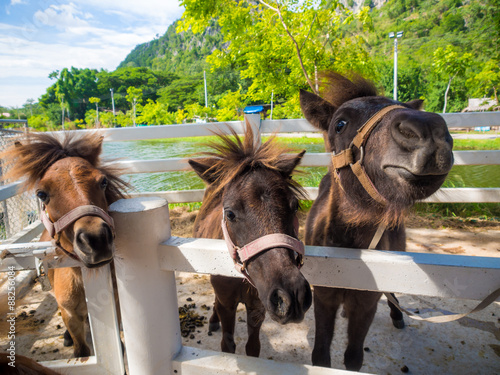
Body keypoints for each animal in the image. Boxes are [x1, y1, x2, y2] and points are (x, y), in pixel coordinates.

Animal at [188, 127, 312, 358]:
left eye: (295, 206)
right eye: (229, 213)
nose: (292, 295)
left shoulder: (257, 305)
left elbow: (253, 349)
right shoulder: (227, 304)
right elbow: (227, 346)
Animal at [298, 72, 456, 370]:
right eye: (340, 124)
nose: (428, 129)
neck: (348, 258)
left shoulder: (366, 304)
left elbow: (354, 358)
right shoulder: (324, 298)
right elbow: (321, 356)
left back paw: (398, 317)